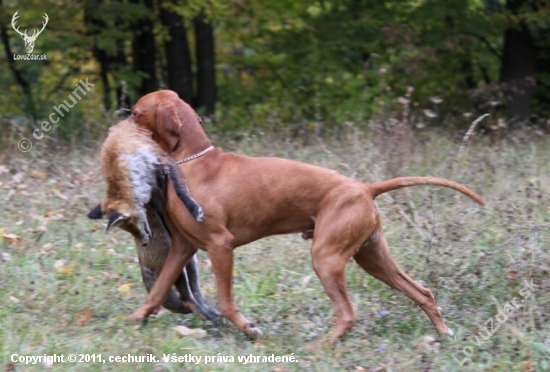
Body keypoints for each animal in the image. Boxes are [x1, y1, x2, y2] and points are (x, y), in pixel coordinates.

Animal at [127, 90, 486, 340]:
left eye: (135, 112)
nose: (119, 124)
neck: (193, 160)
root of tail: (365, 189)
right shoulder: (182, 248)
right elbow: (157, 291)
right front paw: (134, 320)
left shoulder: (221, 246)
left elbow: (226, 302)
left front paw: (249, 329)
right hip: (372, 257)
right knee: (422, 292)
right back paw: (443, 333)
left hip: (325, 258)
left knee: (347, 313)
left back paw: (320, 348)